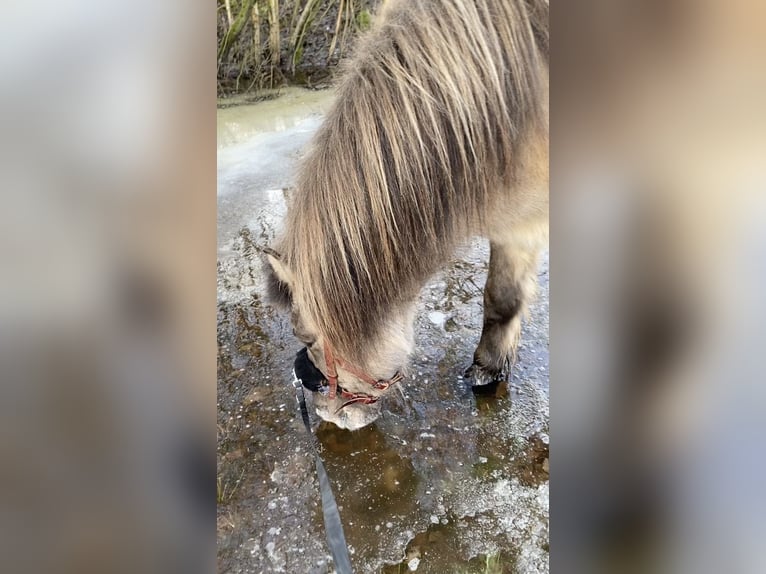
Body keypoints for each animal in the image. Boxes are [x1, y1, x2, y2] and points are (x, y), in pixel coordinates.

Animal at [263, 0, 549, 430]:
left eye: (308, 338)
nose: (327, 416)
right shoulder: (512, 215)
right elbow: (500, 297)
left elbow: (503, 297)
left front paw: (487, 369)